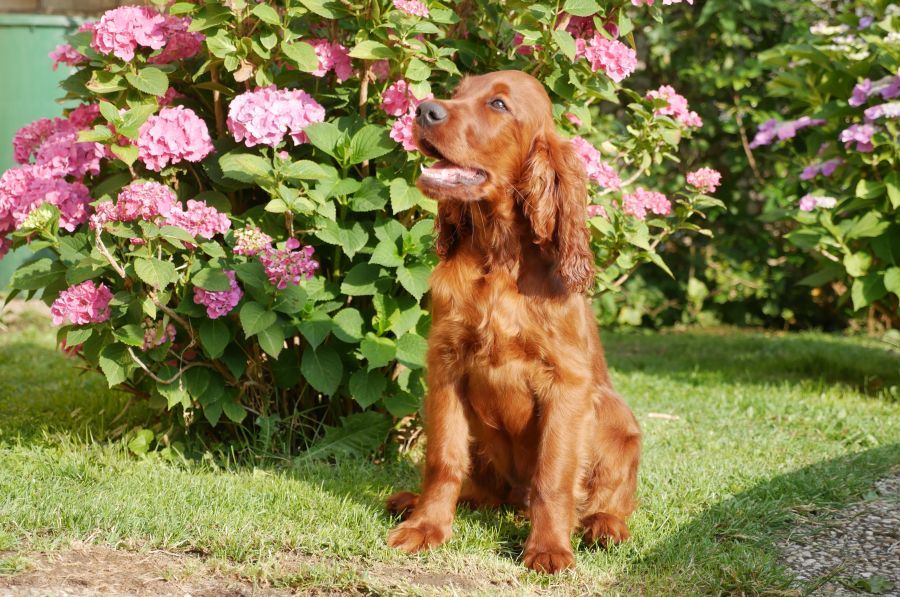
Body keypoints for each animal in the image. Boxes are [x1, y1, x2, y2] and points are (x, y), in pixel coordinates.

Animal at [386, 70, 640, 572]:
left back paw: (603, 526)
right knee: (483, 491)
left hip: (616, 416)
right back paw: (417, 502)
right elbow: (442, 459)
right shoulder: (446, 364)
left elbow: (553, 476)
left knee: (609, 501)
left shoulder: (567, 383)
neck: (499, 254)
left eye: (498, 104)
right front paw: (426, 527)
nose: (424, 109)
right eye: (458, 93)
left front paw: (549, 548)